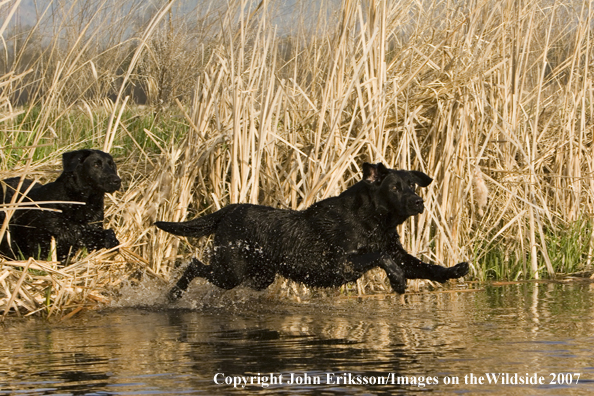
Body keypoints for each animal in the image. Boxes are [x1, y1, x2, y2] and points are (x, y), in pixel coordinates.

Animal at [156, 162, 468, 300]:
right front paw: (397, 280)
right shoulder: (341, 264)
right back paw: (174, 295)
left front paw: (454, 270)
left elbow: (427, 267)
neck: (373, 221)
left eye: (412, 184)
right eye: (394, 187)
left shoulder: (398, 252)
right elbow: (380, 257)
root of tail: (228, 210)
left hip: (259, 276)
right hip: (230, 270)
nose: (418, 202)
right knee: (194, 265)